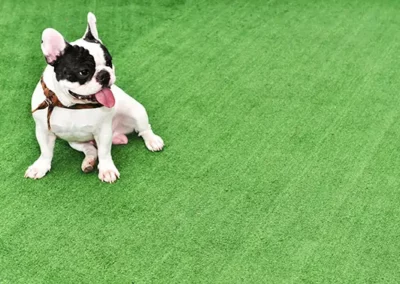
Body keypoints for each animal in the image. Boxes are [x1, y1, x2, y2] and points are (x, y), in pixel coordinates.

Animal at [25, 12, 164, 182]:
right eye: (83, 72)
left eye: (109, 62)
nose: (105, 74)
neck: (71, 105)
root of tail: (118, 134)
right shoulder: (43, 130)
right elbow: (45, 152)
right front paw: (40, 166)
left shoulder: (103, 131)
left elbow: (104, 153)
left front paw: (107, 169)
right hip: (74, 141)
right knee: (91, 149)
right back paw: (89, 161)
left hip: (137, 112)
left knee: (144, 129)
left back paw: (152, 140)